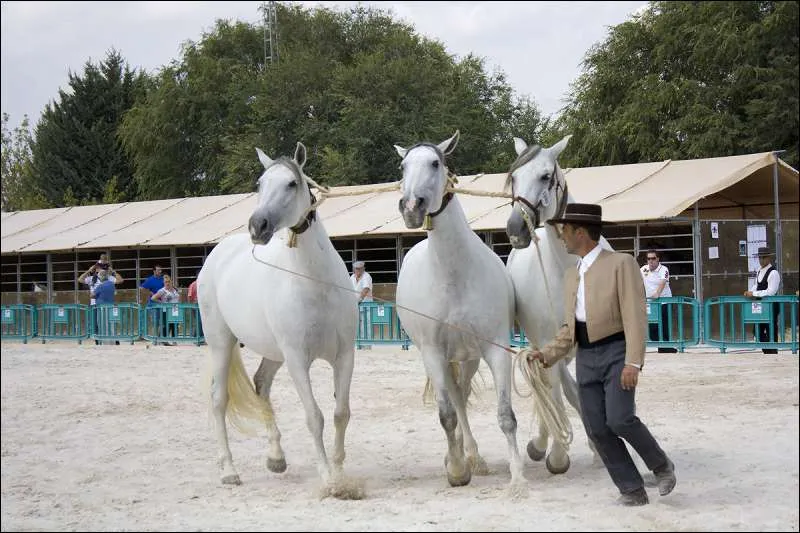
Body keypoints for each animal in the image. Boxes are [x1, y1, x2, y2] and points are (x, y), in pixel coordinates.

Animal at [198, 142, 360, 498]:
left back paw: (276, 458)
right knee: (218, 399)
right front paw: (328, 479)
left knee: (261, 385)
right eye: (259, 184)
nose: (258, 226)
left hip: (274, 353)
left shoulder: (344, 356)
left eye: (291, 183)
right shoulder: (298, 359)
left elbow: (341, 413)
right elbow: (315, 417)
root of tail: (218, 254)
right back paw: (229, 471)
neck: (314, 283)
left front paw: (341, 473)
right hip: (221, 342)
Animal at [392, 130, 524, 490]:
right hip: (444, 358)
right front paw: (455, 469)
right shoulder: (433, 352)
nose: (412, 207)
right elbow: (446, 415)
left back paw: (473, 456)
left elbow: (506, 415)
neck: (454, 276)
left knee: (462, 395)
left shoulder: (496, 349)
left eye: (435, 163)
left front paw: (518, 474)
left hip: (469, 358)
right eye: (403, 166)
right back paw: (463, 457)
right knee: (455, 399)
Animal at [506, 135, 608, 472]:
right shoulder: (549, 338)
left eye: (545, 176)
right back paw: (542, 444)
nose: (516, 229)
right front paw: (557, 454)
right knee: (552, 383)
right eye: (514, 177)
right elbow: (554, 388)